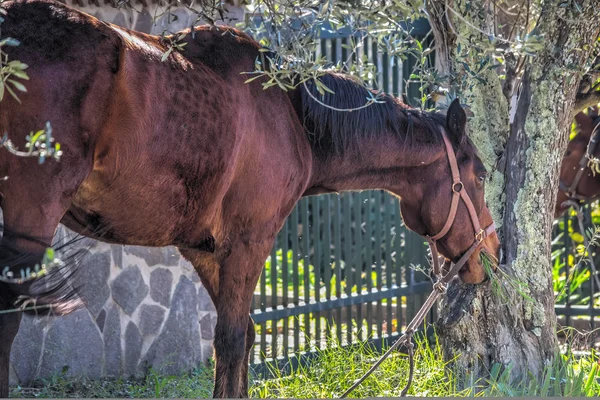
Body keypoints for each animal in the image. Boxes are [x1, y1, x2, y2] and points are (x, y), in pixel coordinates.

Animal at [0, 0, 500, 396]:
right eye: (479, 175)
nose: (493, 253)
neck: (294, 115)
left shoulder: (205, 251)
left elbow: (243, 338)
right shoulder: (249, 242)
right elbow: (233, 339)